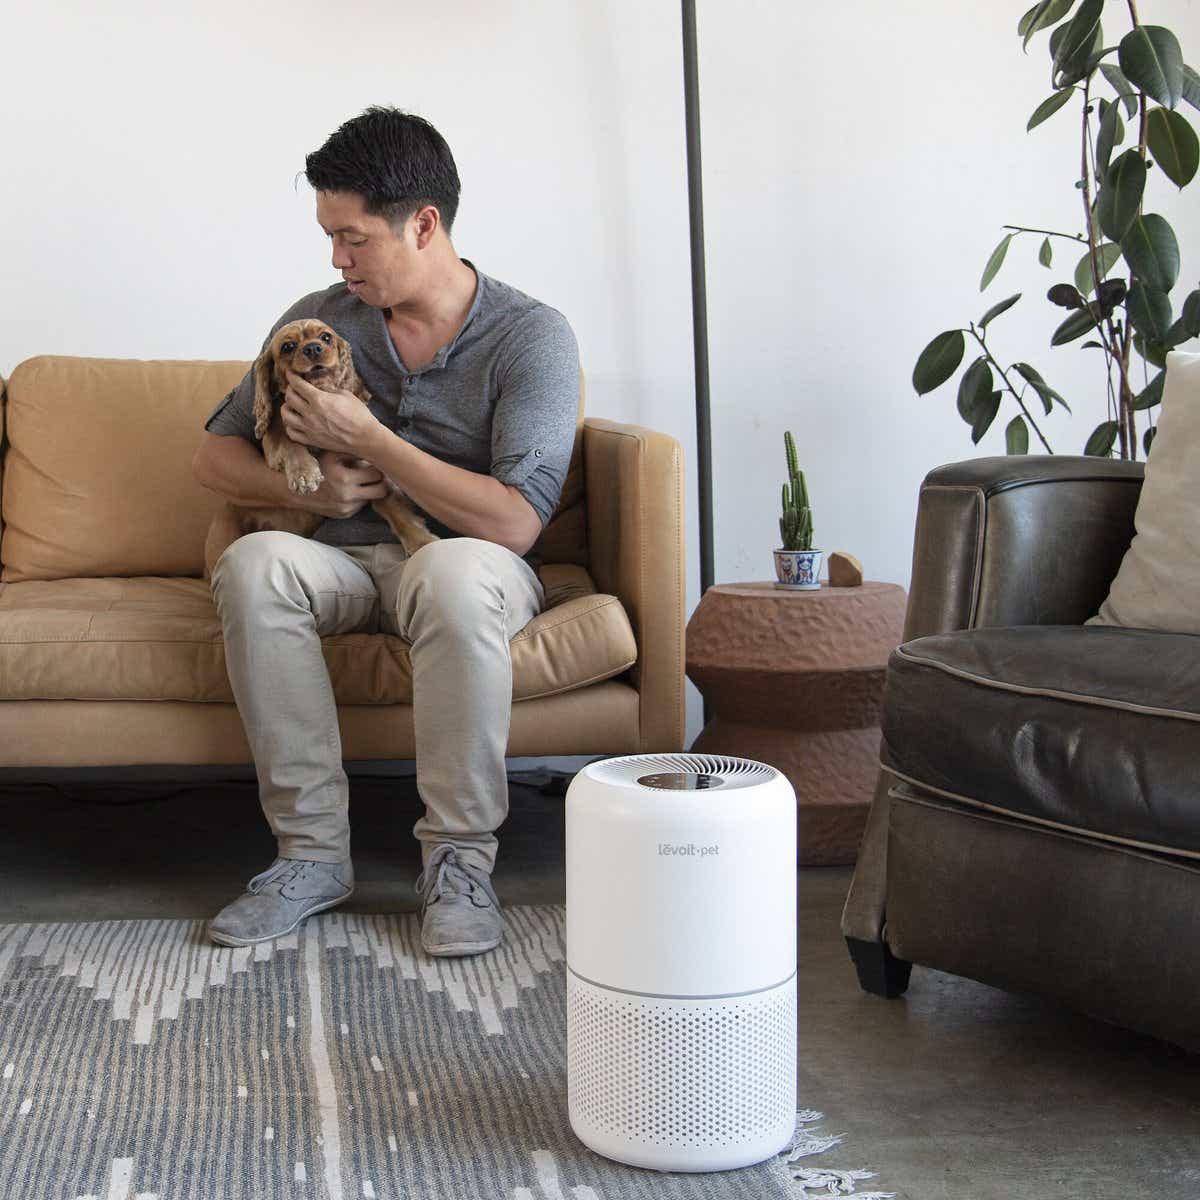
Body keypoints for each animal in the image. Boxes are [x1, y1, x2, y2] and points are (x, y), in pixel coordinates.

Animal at [204, 319, 439, 576]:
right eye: (287, 346)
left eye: (326, 337)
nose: (313, 348)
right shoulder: (273, 445)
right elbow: (290, 444)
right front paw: (305, 473)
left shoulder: (366, 469)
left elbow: (393, 505)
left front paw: (420, 539)